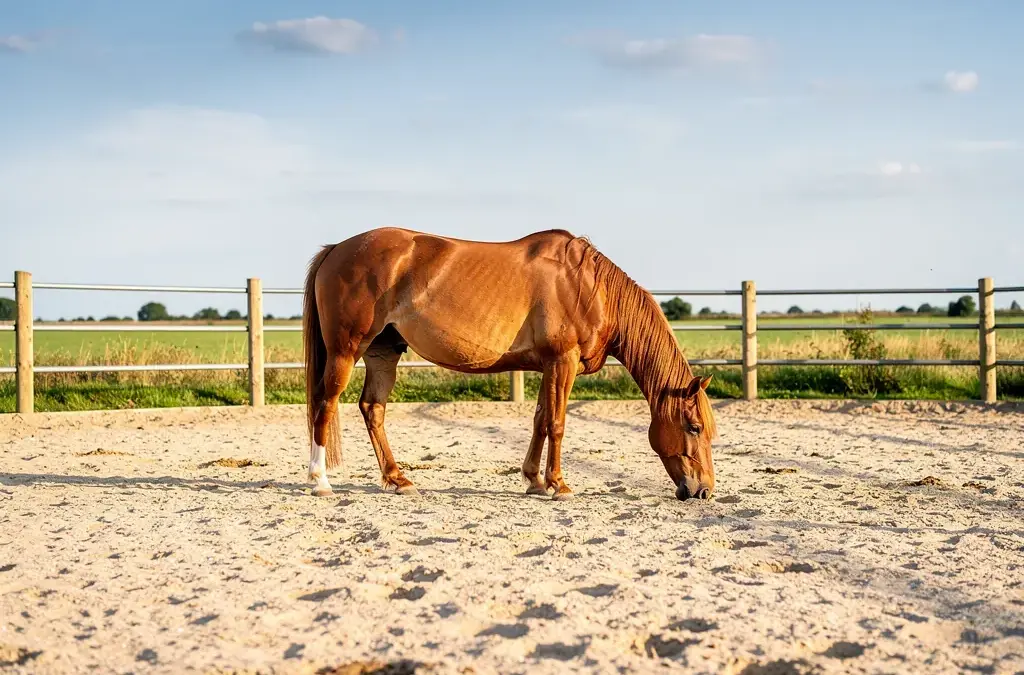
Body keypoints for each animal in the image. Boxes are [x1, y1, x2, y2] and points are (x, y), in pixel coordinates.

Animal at [302, 227, 717, 501]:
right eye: (694, 427)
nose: (703, 491)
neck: (589, 287)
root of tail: (336, 248)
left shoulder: (549, 365)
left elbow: (540, 420)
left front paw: (534, 480)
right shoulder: (562, 361)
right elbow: (557, 424)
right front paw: (559, 485)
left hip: (383, 353)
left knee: (372, 408)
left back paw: (397, 479)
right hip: (346, 351)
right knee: (325, 404)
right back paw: (320, 480)